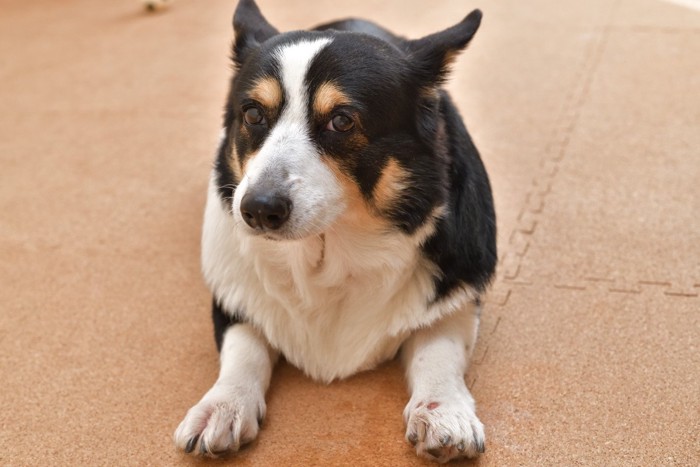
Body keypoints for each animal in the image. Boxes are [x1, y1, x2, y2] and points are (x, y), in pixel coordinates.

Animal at [175, 0, 498, 460]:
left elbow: (439, 351)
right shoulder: (233, 299)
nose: (257, 209)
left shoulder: (456, 297)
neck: (328, 250)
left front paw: (444, 412)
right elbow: (244, 349)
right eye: (252, 113)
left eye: (342, 121)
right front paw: (222, 406)